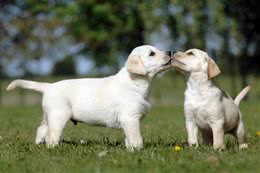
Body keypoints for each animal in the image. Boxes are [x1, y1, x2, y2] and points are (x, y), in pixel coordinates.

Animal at [6, 45, 173, 150]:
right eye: (152, 53)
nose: (170, 52)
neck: (134, 83)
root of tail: (49, 86)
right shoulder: (130, 118)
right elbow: (136, 137)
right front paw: (138, 150)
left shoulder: (129, 120)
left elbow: (128, 137)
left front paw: (130, 149)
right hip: (58, 116)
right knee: (51, 135)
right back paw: (54, 148)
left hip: (48, 115)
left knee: (41, 129)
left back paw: (38, 145)